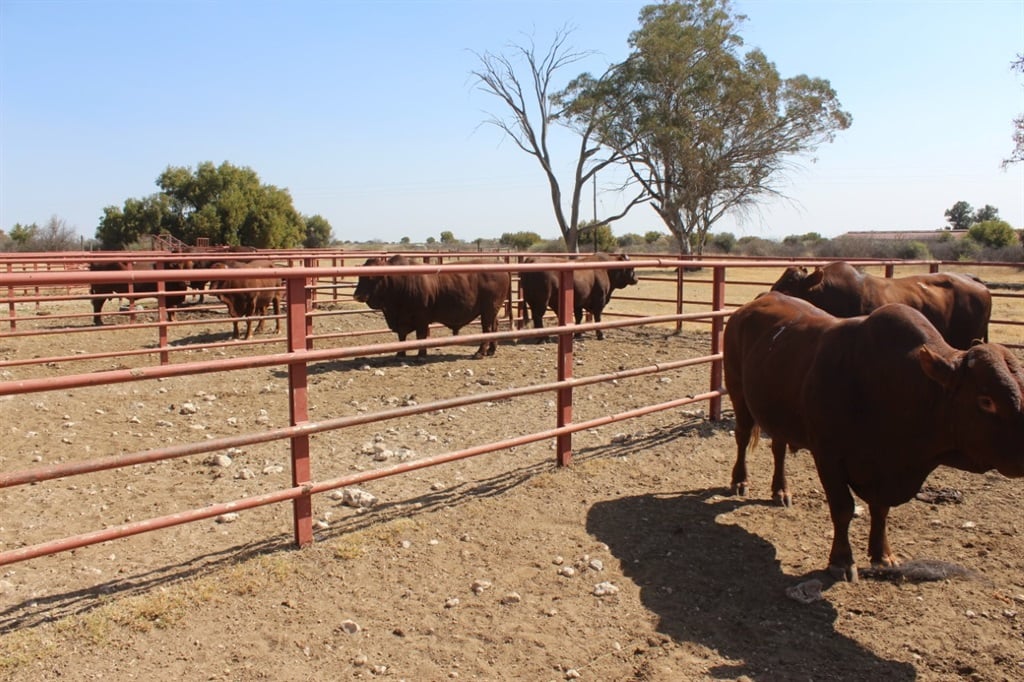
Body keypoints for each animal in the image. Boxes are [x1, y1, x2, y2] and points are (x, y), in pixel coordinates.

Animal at [352, 255, 511, 359]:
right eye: (360, 276)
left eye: (371, 277)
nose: (357, 295)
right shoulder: (402, 319)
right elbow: (401, 336)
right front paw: (400, 353)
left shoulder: (421, 317)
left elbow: (421, 336)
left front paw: (421, 355)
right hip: (492, 311)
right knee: (494, 327)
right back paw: (491, 350)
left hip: (488, 310)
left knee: (487, 329)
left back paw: (479, 353)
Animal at [723, 291, 1024, 581]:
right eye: (986, 401)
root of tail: (750, 307)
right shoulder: (828, 457)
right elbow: (843, 508)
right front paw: (841, 561)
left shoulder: (885, 468)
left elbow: (880, 510)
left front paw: (883, 554)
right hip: (738, 392)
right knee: (742, 437)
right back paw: (740, 481)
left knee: (779, 448)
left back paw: (781, 490)